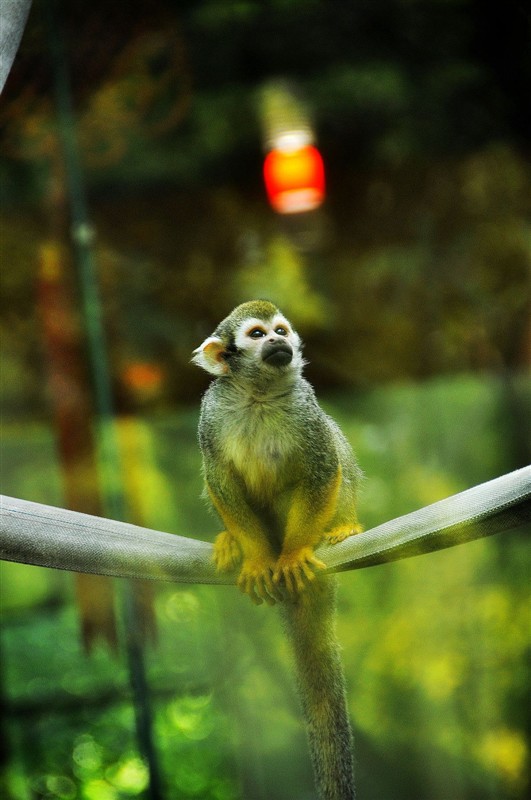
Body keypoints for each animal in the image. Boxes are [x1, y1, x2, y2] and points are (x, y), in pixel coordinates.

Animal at [193, 300, 364, 800]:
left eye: (281, 330)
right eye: (256, 334)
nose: (277, 342)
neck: (259, 395)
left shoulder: (304, 406)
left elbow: (322, 468)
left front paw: (290, 557)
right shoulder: (211, 415)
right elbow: (220, 478)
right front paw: (257, 559)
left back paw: (337, 529)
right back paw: (236, 543)